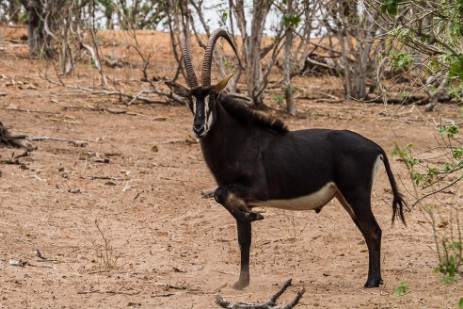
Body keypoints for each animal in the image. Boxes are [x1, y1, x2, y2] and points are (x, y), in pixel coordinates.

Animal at [166, 28, 406, 288]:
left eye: (213, 97)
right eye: (190, 100)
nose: (199, 127)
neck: (239, 139)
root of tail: (375, 147)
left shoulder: (257, 190)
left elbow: (221, 196)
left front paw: (255, 216)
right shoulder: (242, 196)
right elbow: (243, 237)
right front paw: (242, 282)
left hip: (356, 194)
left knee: (373, 230)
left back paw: (372, 281)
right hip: (344, 196)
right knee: (367, 230)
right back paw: (375, 279)